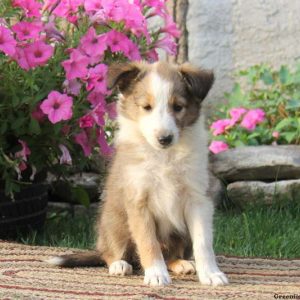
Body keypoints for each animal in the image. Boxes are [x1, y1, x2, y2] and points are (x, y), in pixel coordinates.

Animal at [48, 61, 229, 286]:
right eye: (146, 107)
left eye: (178, 107)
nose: (165, 138)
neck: (164, 156)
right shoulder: (138, 201)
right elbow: (148, 241)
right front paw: (156, 274)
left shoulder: (197, 199)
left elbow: (203, 242)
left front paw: (211, 274)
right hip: (114, 222)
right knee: (111, 252)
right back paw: (120, 265)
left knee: (171, 253)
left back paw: (181, 264)